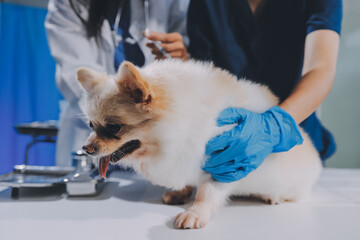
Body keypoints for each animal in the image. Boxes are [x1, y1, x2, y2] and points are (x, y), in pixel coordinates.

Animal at [78, 59, 320, 229]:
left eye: (113, 127)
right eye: (90, 124)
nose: (85, 149)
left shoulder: (224, 163)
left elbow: (207, 193)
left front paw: (195, 213)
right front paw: (180, 192)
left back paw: (273, 196)